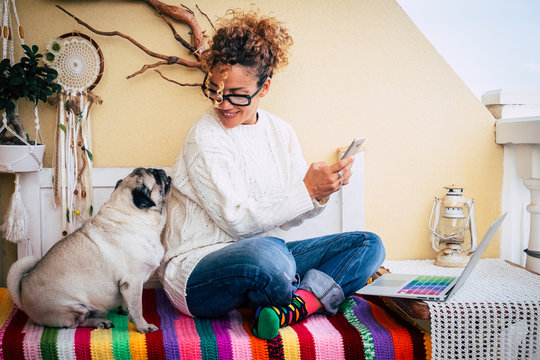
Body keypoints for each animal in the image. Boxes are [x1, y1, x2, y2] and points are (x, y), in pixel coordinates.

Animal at [6, 167, 171, 334]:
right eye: (155, 175)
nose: (161, 170)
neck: (130, 215)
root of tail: (22, 294)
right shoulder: (133, 282)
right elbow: (137, 308)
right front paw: (143, 326)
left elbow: (129, 304)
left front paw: (124, 309)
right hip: (74, 308)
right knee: (75, 324)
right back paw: (100, 322)